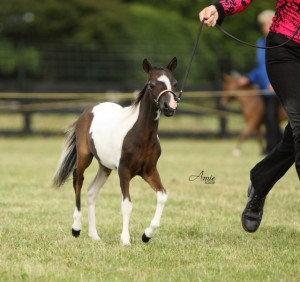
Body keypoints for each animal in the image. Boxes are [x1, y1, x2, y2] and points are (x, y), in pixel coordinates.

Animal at [52, 56, 178, 245]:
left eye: (175, 83)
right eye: (151, 84)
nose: (169, 106)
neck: (140, 135)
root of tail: (88, 110)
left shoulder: (149, 171)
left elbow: (162, 196)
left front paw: (147, 235)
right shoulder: (124, 171)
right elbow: (127, 204)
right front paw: (125, 239)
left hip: (105, 167)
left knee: (91, 192)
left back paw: (94, 235)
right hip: (84, 156)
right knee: (78, 180)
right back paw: (76, 228)